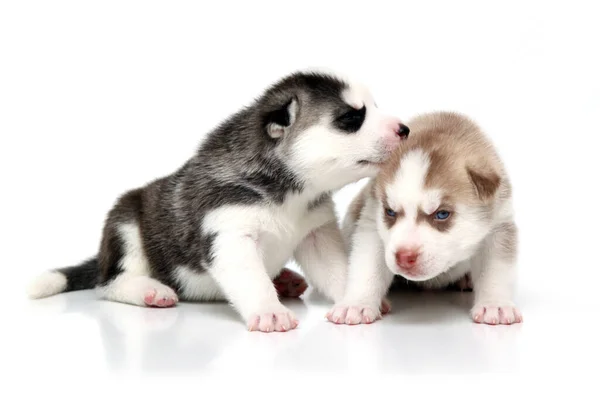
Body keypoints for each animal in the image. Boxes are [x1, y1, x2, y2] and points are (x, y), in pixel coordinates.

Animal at [29, 71, 412, 332]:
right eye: (351, 118)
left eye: (373, 107)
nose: (405, 129)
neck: (289, 192)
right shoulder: (229, 234)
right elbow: (252, 279)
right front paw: (269, 310)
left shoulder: (316, 234)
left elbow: (338, 270)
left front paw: (354, 301)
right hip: (126, 224)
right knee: (109, 283)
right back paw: (148, 290)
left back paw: (285, 280)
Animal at [328, 111, 520, 324]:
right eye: (390, 212)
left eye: (442, 214)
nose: (404, 257)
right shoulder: (371, 223)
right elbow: (367, 266)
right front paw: (357, 304)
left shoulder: (499, 225)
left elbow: (495, 270)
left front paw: (495, 304)